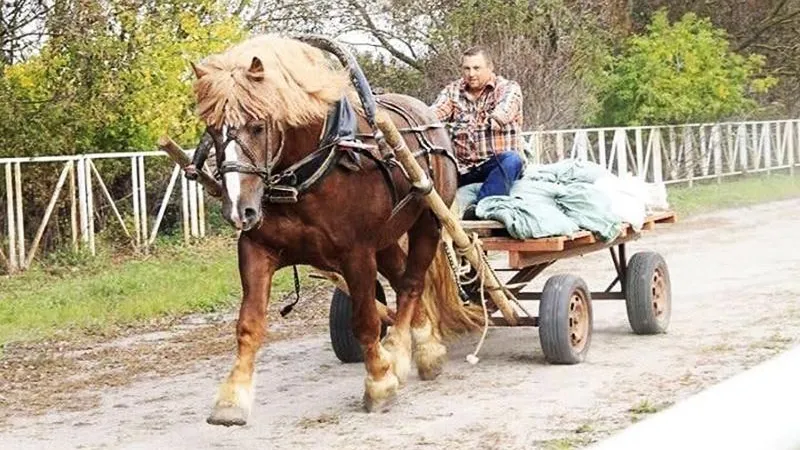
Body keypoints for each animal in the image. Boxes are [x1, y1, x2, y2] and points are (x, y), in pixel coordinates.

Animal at [189, 34, 482, 426]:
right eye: (212, 129)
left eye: (258, 126)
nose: (239, 210)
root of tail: (427, 115)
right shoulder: (256, 248)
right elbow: (248, 324)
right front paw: (231, 398)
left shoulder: (356, 254)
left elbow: (365, 321)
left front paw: (379, 382)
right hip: (385, 239)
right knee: (401, 275)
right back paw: (426, 347)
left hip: (428, 223)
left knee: (411, 284)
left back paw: (400, 352)